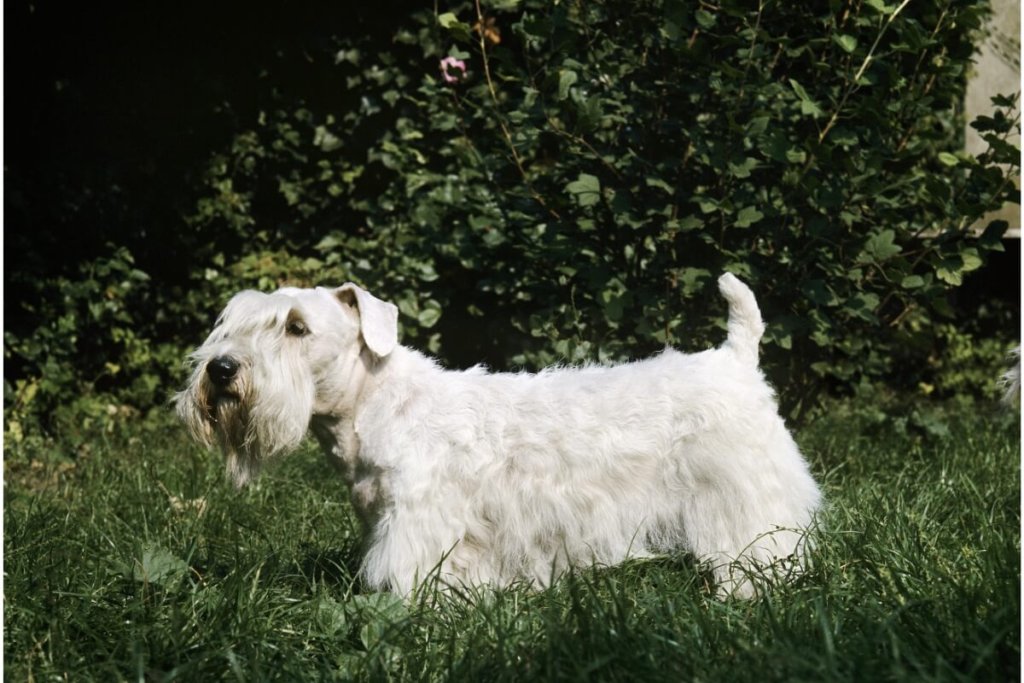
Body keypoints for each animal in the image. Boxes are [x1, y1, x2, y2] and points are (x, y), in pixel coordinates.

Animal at [176, 274, 823, 593]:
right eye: (230, 323)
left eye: (297, 327)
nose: (222, 370)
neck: (378, 404)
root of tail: (735, 358)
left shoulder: (419, 527)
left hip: (745, 499)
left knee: (762, 546)